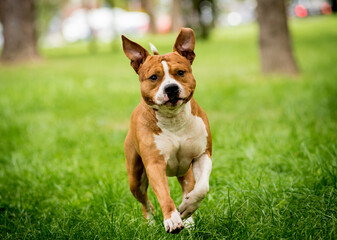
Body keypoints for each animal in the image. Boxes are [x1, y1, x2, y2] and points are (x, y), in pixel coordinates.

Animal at [121, 27, 211, 232]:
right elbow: (163, 195)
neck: (174, 120)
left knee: (189, 186)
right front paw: (171, 219)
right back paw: (151, 223)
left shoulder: (202, 155)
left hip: (185, 172)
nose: (171, 88)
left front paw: (187, 207)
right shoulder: (154, 165)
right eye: (154, 77)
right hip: (135, 178)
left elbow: (202, 188)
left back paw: (189, 219)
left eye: (180, 72)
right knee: (145, 202)